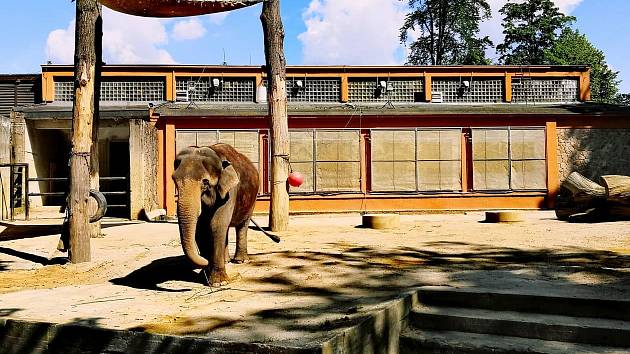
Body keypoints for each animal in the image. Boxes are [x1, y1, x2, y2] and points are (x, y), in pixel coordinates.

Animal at [173, 144, 262, 288]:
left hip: (252, 200)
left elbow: (217, 224)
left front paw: (219, 283)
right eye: (174, 180)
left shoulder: (230, 193)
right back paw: (226, 261)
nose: (205, 260)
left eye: (205, 182)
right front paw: (204, 277)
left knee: (242, 225)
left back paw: (241, 261)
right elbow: (201, 228)